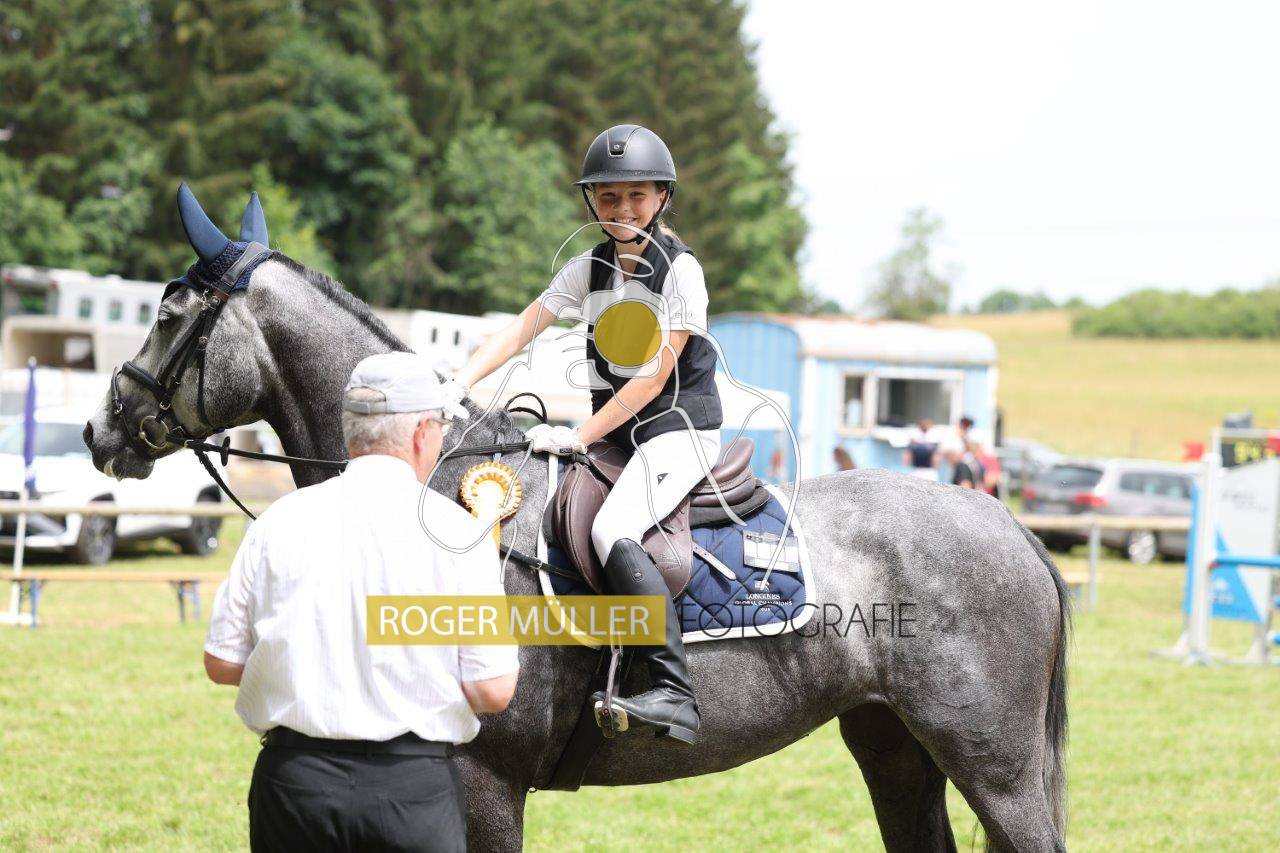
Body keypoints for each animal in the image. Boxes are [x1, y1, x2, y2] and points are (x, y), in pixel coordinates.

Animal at [83, 188, 1069, 851]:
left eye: (168, 313)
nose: (103, 428)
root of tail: (1011, 526)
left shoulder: (486, 779)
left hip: (996, 766)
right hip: (894, 746)